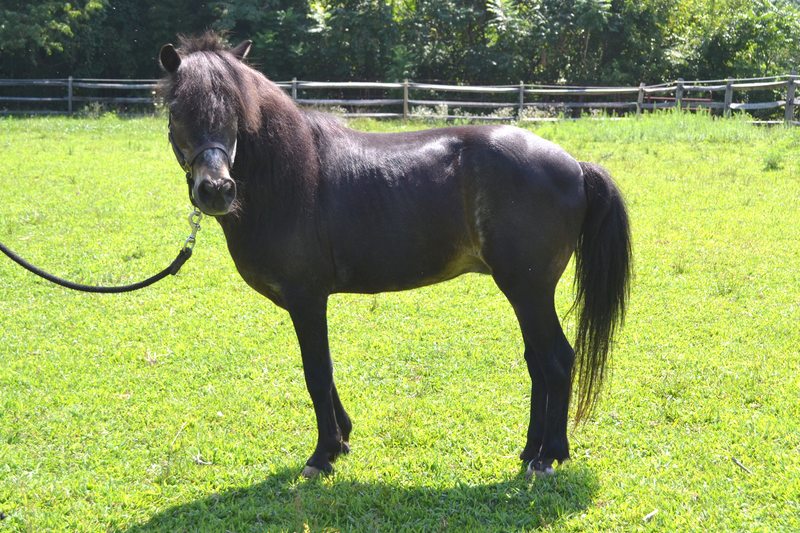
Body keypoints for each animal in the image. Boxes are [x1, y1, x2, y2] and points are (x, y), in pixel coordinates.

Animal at [156, 34, 632, 478]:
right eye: (176, 111)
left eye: (235, 111)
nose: (216, 190)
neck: (290, 178)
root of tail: (575, 165)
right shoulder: (306, 303)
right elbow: (325, 372)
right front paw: (342, 440)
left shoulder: (307, 298)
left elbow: (317, 373)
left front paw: (322, 454)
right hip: (526, 294)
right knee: (538, 364)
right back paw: (531, 450)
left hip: (529, 290)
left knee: (557, 361)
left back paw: (550, 455)